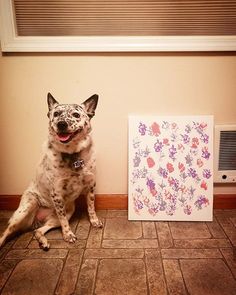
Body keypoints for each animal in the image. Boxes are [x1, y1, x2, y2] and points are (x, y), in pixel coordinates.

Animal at [0, 92, 102, 250]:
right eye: (56, 114)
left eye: (76, 114)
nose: (61, 124)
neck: (72, 155)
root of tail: (35, 220)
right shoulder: (57, 194)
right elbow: (64, 221)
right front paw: (68, 235)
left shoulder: (90, 186)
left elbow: (91, 207)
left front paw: (94, 221)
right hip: (26, 208)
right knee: (7, 231)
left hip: (68, 210)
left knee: (37, 230)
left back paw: (43, 241)